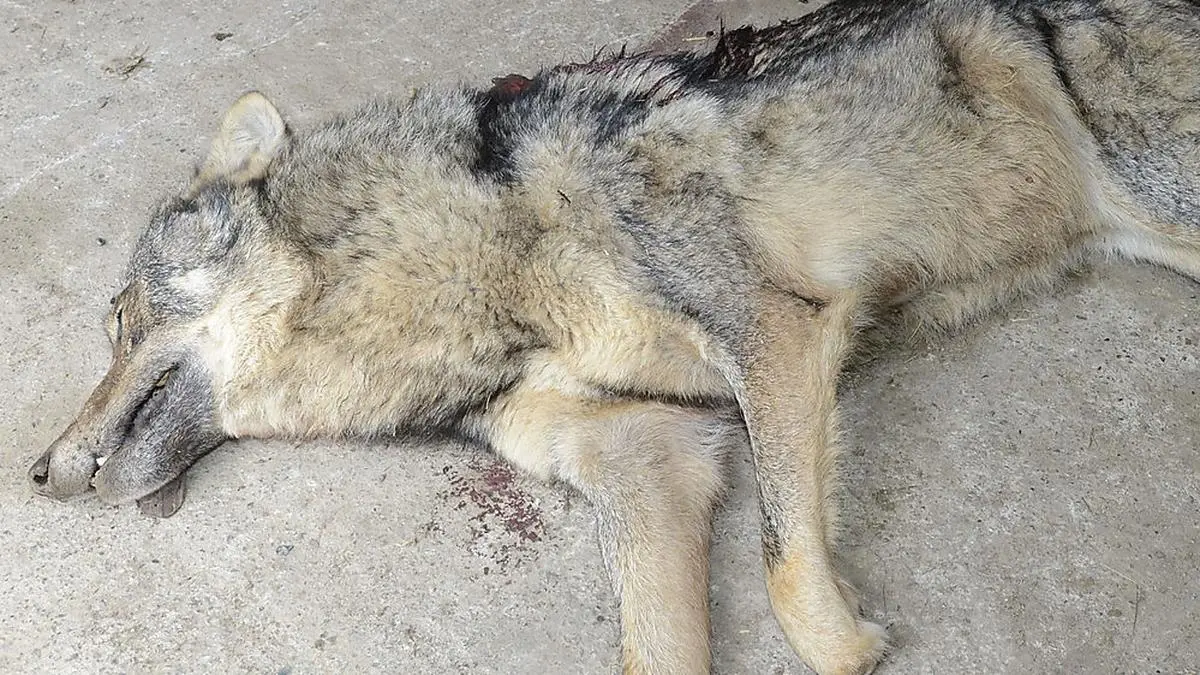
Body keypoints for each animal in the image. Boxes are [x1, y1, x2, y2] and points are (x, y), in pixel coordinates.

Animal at [27, 0, 1200, 672]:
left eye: (121, 322)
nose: (35, 474)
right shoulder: (654, 451)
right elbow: (658, 646)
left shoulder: (771, 331)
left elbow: (787, 572)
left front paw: (854, 642)